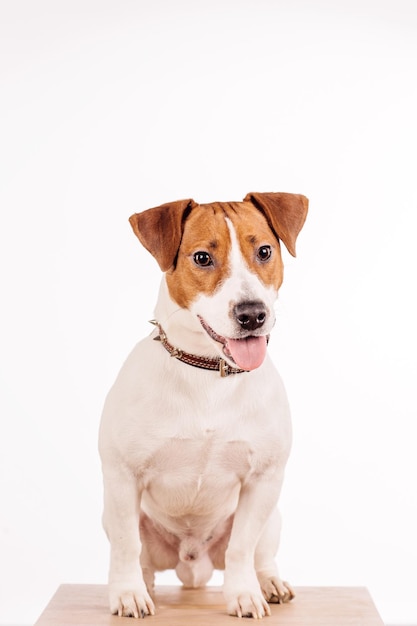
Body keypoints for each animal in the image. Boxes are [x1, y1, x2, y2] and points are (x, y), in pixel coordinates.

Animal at [99, 189, 308, 616]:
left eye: (264, 251)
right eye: (201, 258)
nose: (252, 314)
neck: (211, 373)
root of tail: (191, 565)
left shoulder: (264, 481)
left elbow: (242, 548)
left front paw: (244, 594)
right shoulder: (121, 477)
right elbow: (127, 546)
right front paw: (127, 594)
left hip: (273, 516)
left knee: (261, 553)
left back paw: (270, 582)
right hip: (115, 515)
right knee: (139, 554)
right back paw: (144, 584)